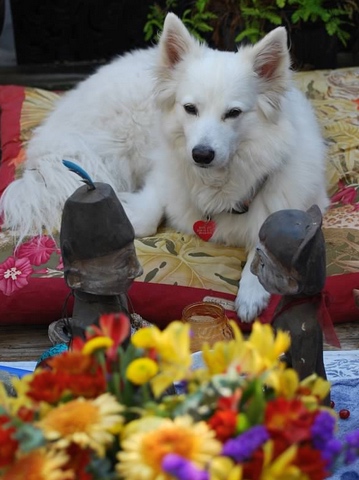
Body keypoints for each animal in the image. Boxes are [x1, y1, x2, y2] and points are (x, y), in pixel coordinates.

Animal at [0, 14, 330, 322]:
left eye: (234, 113)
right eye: (190, 109)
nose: (201, 155)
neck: (219, 184)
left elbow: (264, 248)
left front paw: (251, 292)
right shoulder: (161, 175)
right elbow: (146, 218)